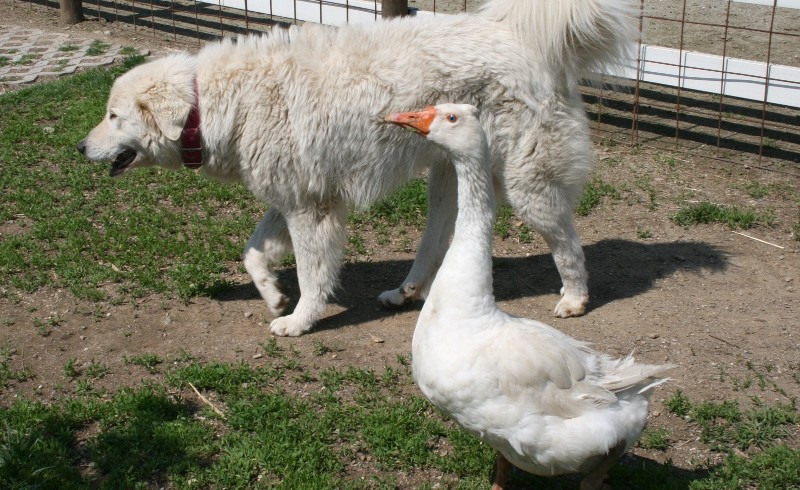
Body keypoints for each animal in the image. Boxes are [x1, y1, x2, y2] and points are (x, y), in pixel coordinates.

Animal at [76, 0, 636, 334]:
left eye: (113, 116)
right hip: (450, 175)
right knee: (440, 237)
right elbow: (253, 253)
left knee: (567, 241)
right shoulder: (293, 199)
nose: (80, 148)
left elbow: (312, 273)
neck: (210, 104)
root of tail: (515, 33)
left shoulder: (311, 211)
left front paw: (299, 320)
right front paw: (273, 296)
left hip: (527, 184)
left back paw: (574, 299)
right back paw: (407, 291)